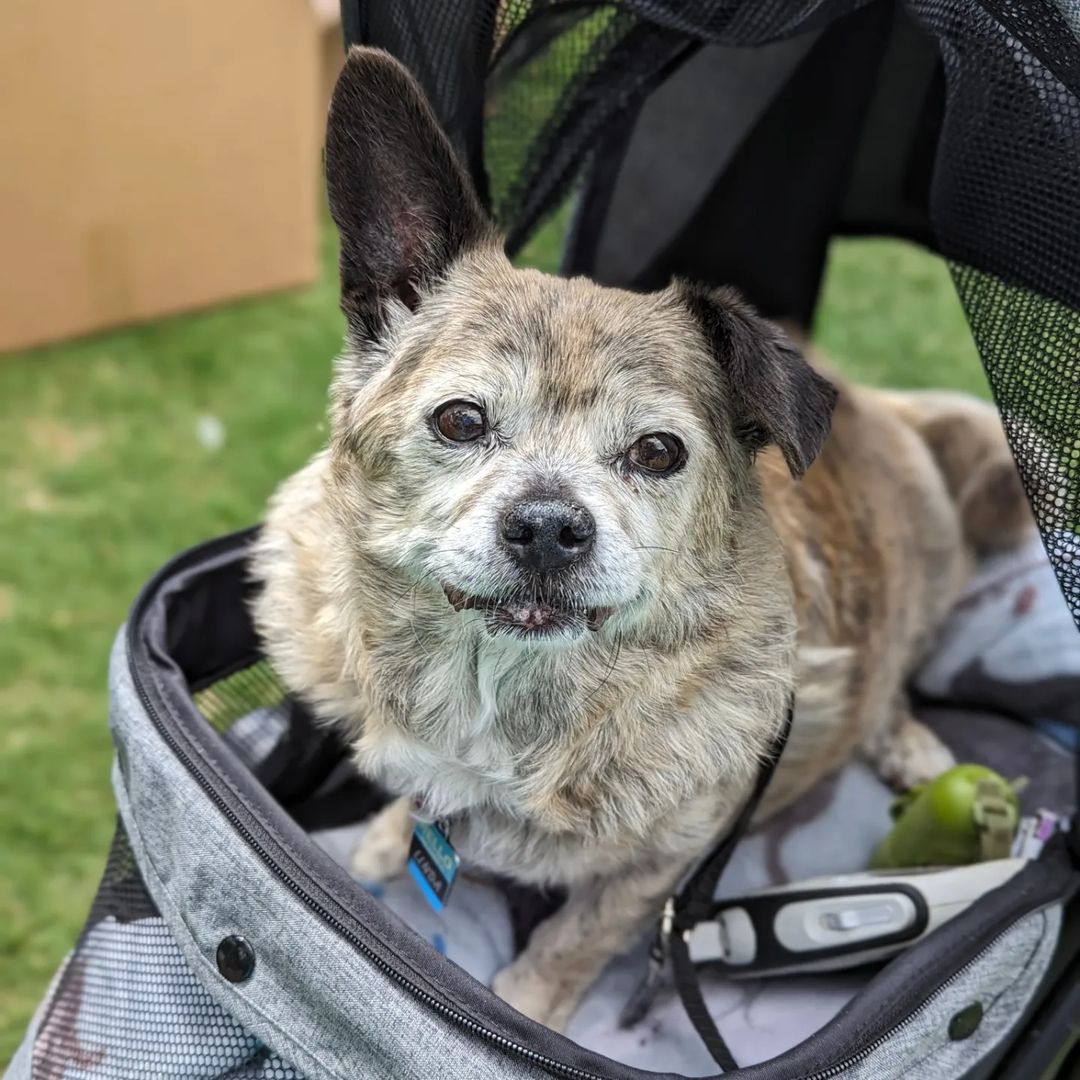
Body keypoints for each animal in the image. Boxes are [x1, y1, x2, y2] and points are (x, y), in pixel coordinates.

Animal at [250, 46, 1028, 1032]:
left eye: (658, 451)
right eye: (461, 420)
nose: (549, 528)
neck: (505, 698)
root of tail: (882, 409)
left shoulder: (665, 865)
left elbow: (578, 934)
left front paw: (528, 1004)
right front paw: (388, 840)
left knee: (890, 673)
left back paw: (907, 740)